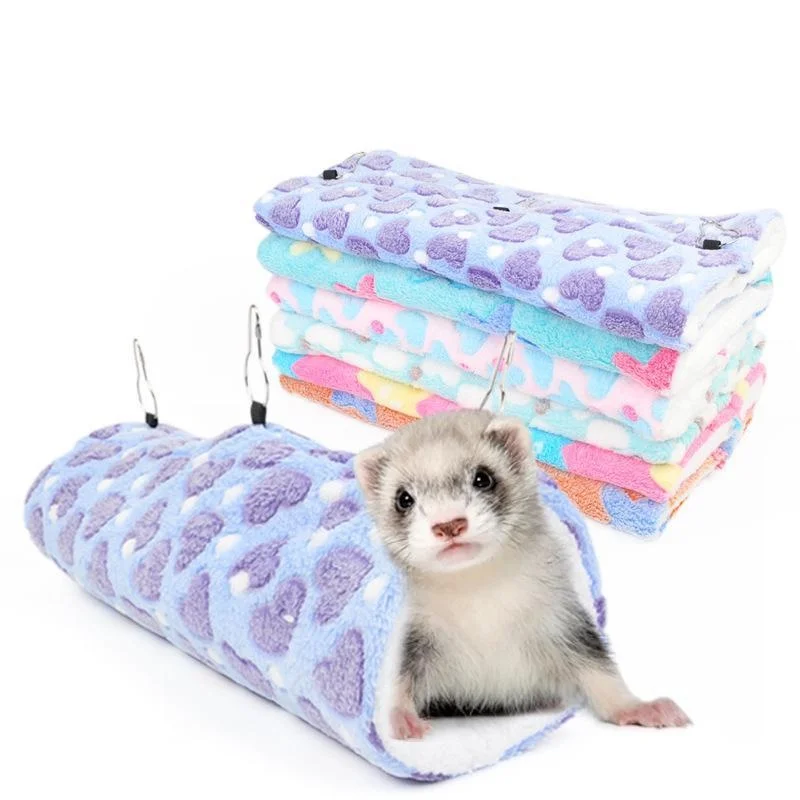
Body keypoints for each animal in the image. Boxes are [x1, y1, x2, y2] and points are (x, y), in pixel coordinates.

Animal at [355, 409, 690, 740]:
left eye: (483, 477)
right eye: (403, 498)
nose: (448, 523)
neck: (480, 608)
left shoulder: (563, 619)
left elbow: (598, 668)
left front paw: (642, 709)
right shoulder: (410, 637)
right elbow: (396, 680)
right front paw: (398, 720)